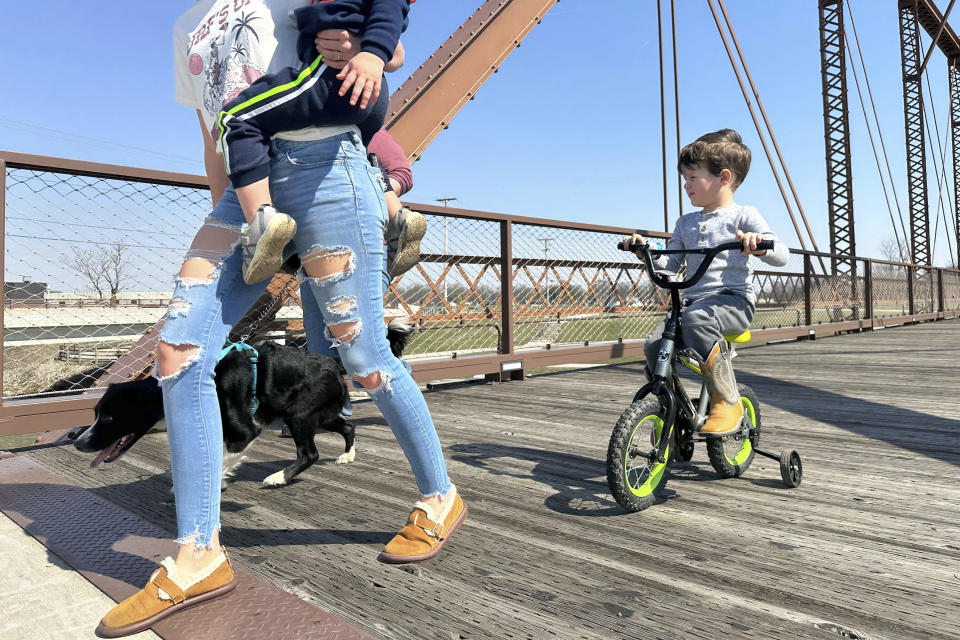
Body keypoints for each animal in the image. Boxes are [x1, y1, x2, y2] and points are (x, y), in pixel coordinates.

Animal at [71, 322, 408, 488]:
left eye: (110, 418)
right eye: (96, 414)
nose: (78, 442)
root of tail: (332, 362)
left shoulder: (245, 431)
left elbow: (222, 458)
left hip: (299, 415)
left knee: (309, 453)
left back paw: (278, 478)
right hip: (317, 414)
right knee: (348, 426)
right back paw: (347, 456)